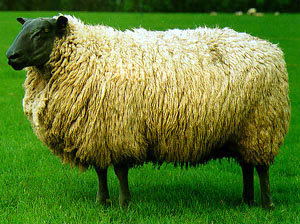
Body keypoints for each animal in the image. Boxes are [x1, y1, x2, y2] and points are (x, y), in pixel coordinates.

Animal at [5, 14, 290, 209]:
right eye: (22, 29)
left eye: (42, 32)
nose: (10, 56)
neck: (85, 54)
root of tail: (271, 48)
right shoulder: (96, 133)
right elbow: (100, 171)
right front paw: (102, 202)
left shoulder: (117, 130)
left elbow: (120, 171)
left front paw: (123, 203)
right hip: (243, 130)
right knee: (247, 166)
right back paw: (246, 200)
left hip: (263, 123)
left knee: (261, 168)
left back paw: (265, 204)